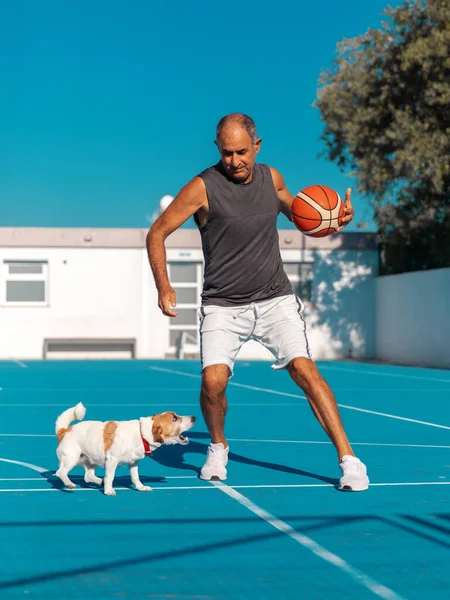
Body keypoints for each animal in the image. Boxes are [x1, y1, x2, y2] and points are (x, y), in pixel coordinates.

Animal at [54, 404, 195, 496]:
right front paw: (108, 490)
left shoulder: (133, 463)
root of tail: (64, 431)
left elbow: (136, 477)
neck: (141, 433)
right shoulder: (112, 460)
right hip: (71, 458)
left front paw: (140, 487)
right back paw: (69, 483)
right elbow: (110, 476)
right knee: (60, 472)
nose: (194, 417)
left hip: (91, 460)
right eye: (174, 418)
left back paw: (100, 481)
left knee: (88, 476)